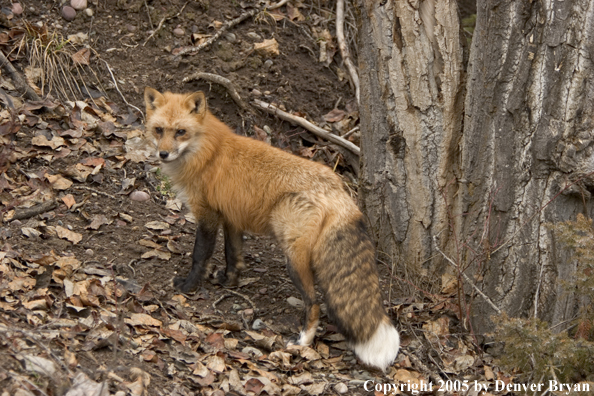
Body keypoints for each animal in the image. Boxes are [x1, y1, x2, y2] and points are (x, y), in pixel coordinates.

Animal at [145, 88, 398, 370]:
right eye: (159, 130)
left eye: (180, 132)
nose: (163, 154)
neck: (207, 153)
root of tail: (337, 187)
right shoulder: (231, 217)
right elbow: (233, 255)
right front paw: (229, 281)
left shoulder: (207, 214)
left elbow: (200, 255)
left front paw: (188, 286)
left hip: (294, 258)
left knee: (315, 304)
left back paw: (302, 342)